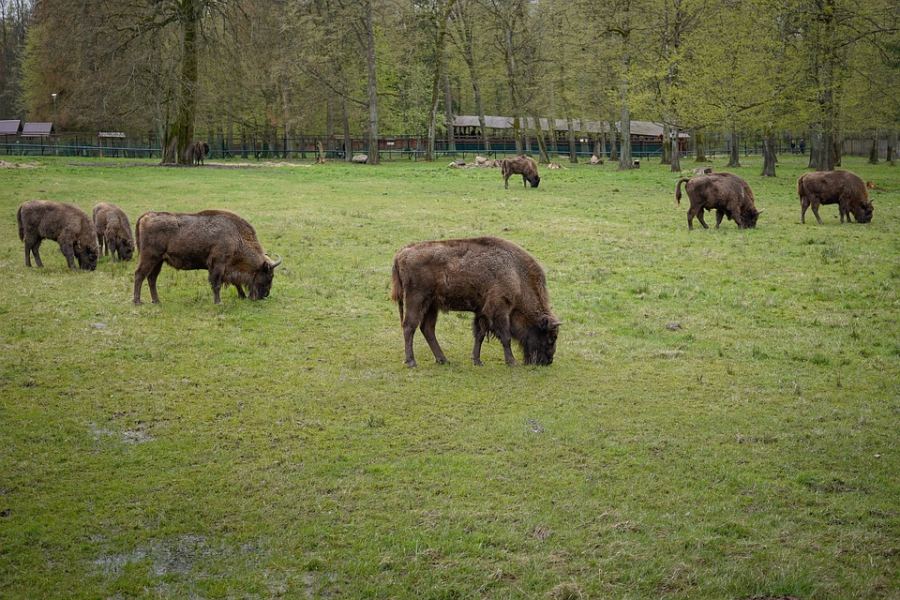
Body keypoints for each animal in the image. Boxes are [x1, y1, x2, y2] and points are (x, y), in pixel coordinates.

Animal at [133, 209, 281, 304]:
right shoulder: (218, 265)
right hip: (150, 258)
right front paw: (218, 302)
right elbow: (216, 284)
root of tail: (146, 216)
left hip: (158, 261)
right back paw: (138, 302)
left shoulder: (227, 268)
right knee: (139, 275)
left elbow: (235, 282)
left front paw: (242, 296)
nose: (265, 295)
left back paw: (156, 301)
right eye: (270, 275)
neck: (236, 236)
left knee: (151, 278)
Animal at [391, 236, 560, 367]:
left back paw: (443, 360)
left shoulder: (482, 312)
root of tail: (401, 254)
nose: (548, 361)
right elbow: (505, 337)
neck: (516, 274)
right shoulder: (500, 310)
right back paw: (411, 362)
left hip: (432, 305)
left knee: (427, 329)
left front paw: (477, 361)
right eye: (551, 338)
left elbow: (480, 335)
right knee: (409, 326)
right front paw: (512, 362)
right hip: (416, 300)